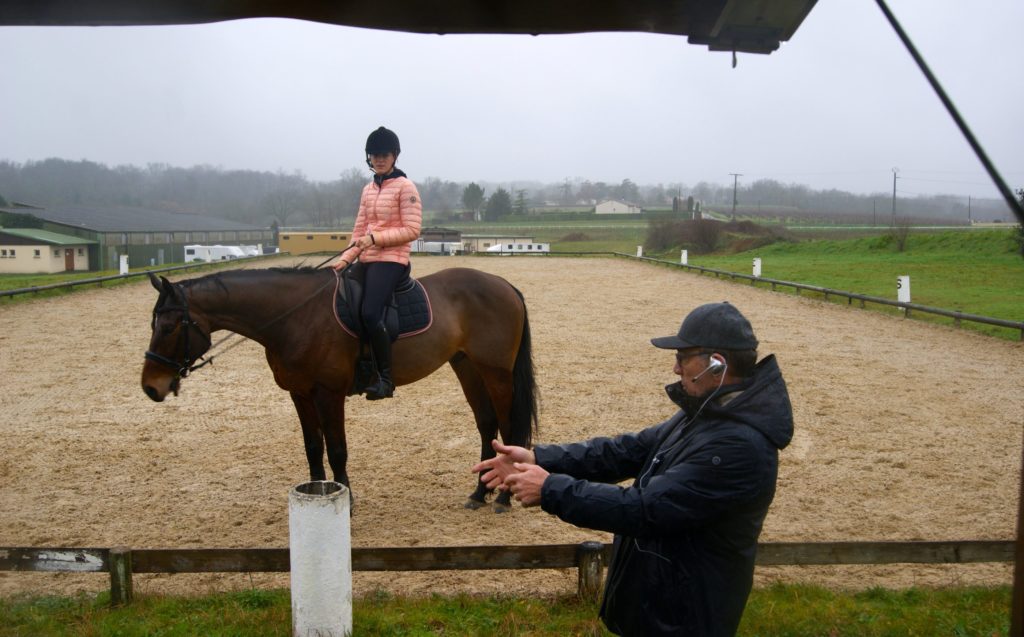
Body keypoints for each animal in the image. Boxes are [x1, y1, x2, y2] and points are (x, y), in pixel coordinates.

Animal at [140, 266, 540, 514]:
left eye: (171, 326)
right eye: (153, 323)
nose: (150, 387)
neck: (295, 317)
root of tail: (503, 284)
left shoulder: (328, 392)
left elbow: (336, 450)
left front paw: (345, 501)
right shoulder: (300, 393)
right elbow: (313, 448)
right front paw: (315, 495)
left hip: (495, 372)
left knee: (509, 429)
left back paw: (503, 497)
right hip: (467, 366)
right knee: (487, 426)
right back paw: (479, 493)